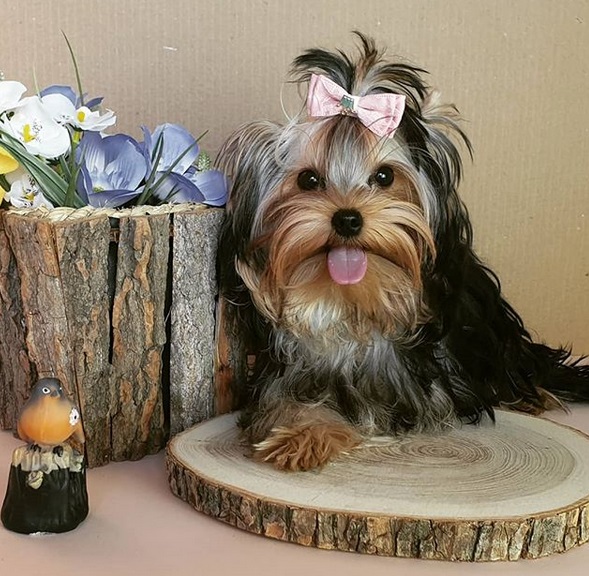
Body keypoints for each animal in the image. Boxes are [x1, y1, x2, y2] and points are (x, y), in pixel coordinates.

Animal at [217, 32, 588, 472]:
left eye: (384, 176)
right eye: (308, 180)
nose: (347, 219)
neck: (351, 304)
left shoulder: (426, 391)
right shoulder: (283, 375)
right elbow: (288, 403)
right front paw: (302, 435)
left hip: (489, 331)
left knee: (518, 366)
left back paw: (532, 394)